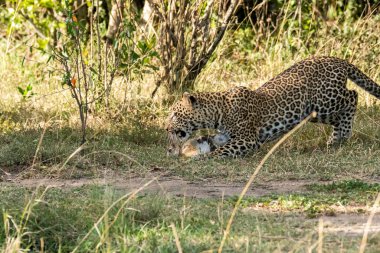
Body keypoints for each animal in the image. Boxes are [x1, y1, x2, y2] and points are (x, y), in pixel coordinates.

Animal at [166, 56, 380, 157]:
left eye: (175, 114)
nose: (167, 128)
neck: (218, 112)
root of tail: (337, 59)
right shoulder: (223, 137)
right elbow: (214, 142)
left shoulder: (248, 139)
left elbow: (222, 151)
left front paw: (205, 157)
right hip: (315, 112)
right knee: (340, 116)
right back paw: (336, 140)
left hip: (327, 100)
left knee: (353, 96)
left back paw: (344, 134)